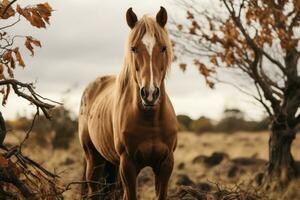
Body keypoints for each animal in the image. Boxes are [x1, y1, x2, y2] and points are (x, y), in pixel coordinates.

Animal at [78, 6, 178, 200]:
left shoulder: (165, 165)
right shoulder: (128, 165)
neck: (150, 120)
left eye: (163, 47)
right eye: (134, 48)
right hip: (93, 160)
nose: (150, 94)